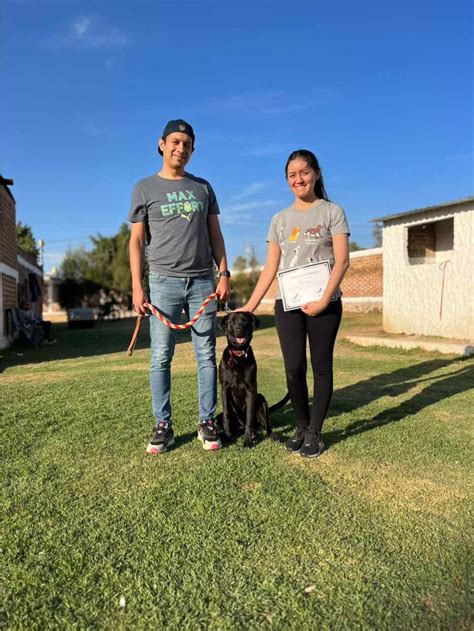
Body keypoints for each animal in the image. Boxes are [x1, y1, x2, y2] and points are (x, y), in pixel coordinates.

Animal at [216, 314, 288, 446]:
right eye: (231, 322)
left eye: (245, 321)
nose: (238, 330)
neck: (238, 356)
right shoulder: (224, 388)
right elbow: (226, 414)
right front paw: (226, 436)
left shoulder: (250, 390)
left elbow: (249, 416)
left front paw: (248, 441)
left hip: (261, 399)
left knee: (266, 425)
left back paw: (270, 435)